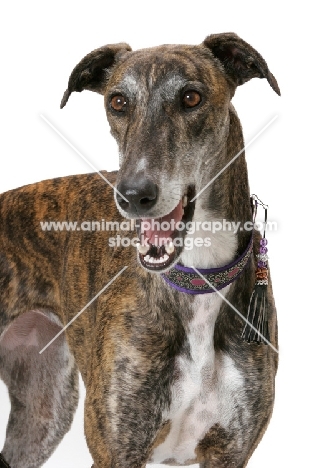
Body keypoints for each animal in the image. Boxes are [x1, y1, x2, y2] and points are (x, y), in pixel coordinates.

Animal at [0, 33, 278, 468]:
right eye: (118, 102)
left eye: (191, 97)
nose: (133, 195)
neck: (197, 279)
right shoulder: (117, 450)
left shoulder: (230, 453)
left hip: (42, 410)